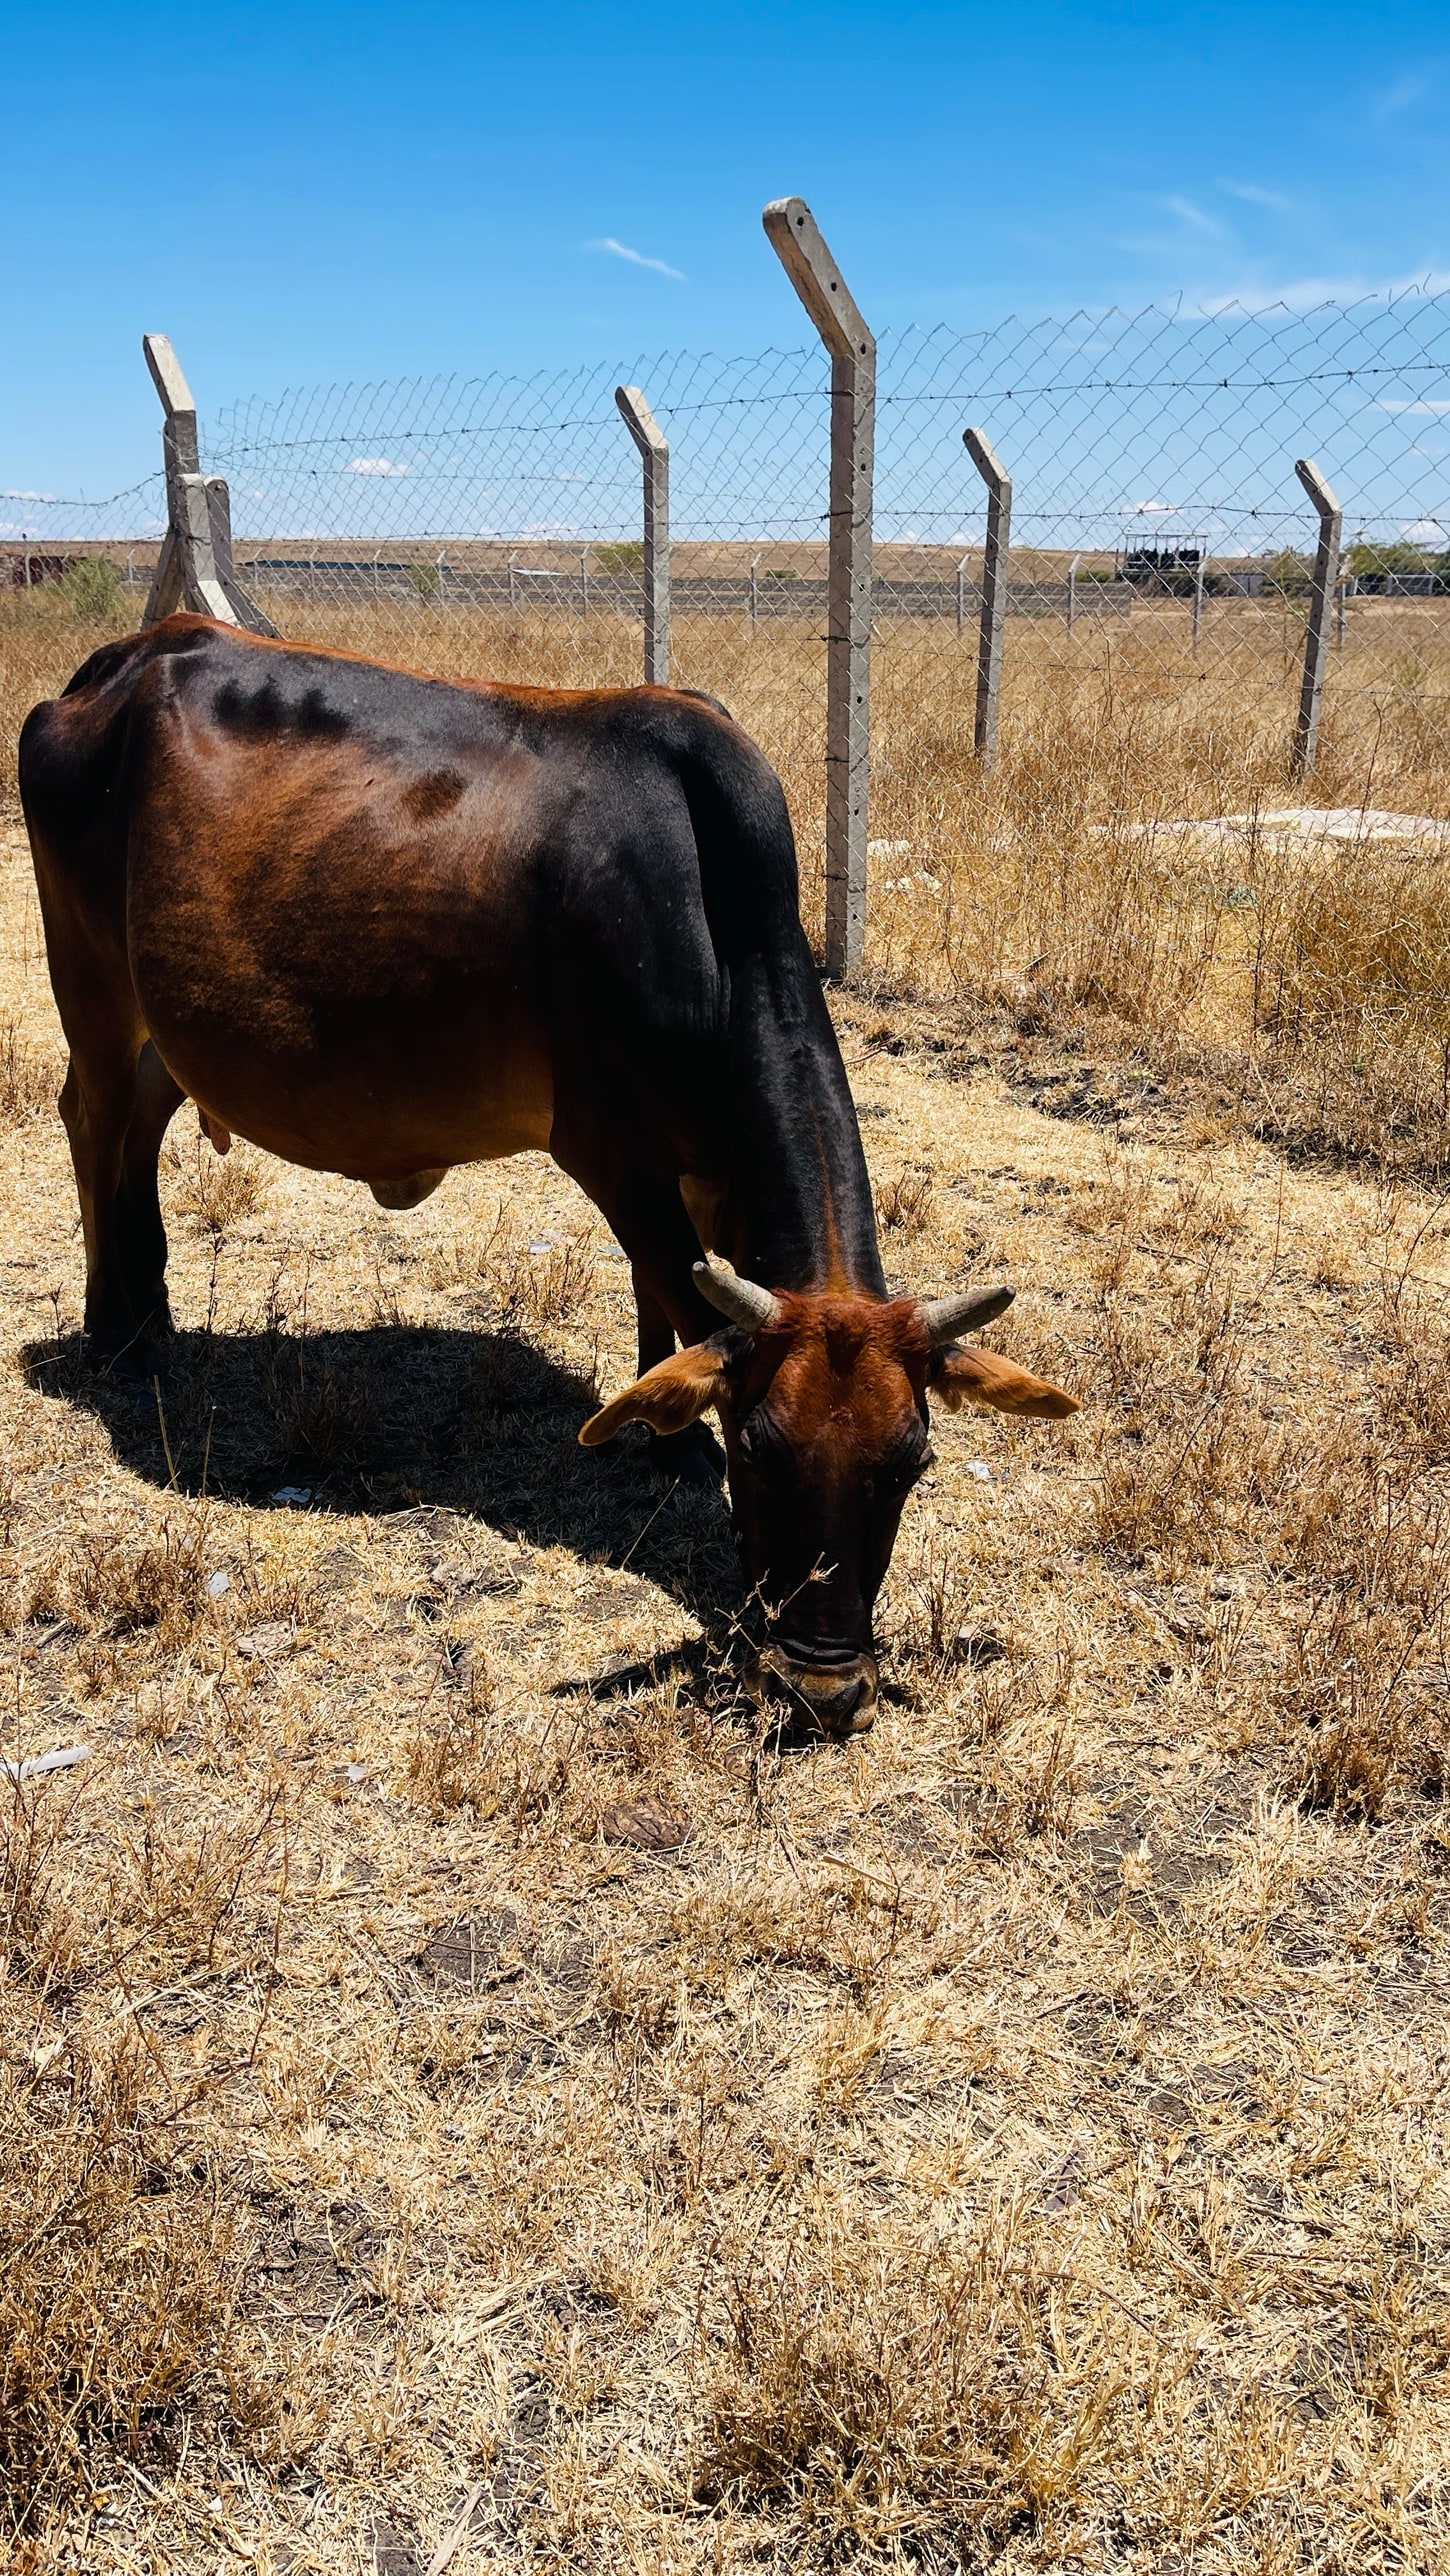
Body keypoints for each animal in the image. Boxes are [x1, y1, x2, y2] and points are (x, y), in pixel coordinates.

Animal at [19, 615, 1077, 1734]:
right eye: (760, 1449)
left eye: (913, 1461)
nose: (822, 1688)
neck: (706, 914)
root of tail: (127, 657)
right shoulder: (611, 1152)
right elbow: (670, 1283)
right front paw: (671, 1432)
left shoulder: (705, 1167)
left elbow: (672, 1294)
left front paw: (663, 1435)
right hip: (90, 980)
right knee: (93, 1120)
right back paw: (113, 1328)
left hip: (159, 1019)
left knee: (140, 1125)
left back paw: (153, 1311)